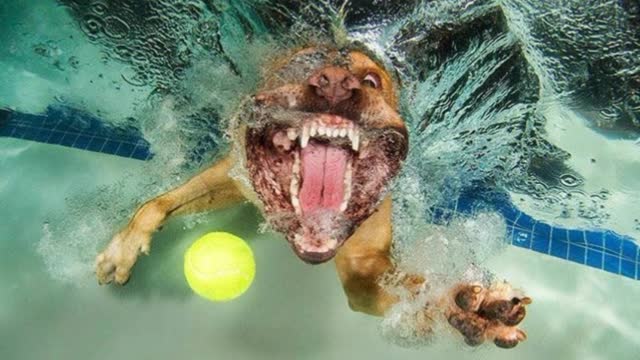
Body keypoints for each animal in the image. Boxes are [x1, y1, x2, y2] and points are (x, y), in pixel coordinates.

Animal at [95, 46, 528, 348]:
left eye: (371, 80)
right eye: (297, 69)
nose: (334, 81)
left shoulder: (364, 261)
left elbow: (402, 286)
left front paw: (468, 308)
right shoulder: (233, 177)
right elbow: (155, 204)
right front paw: (123, 247)